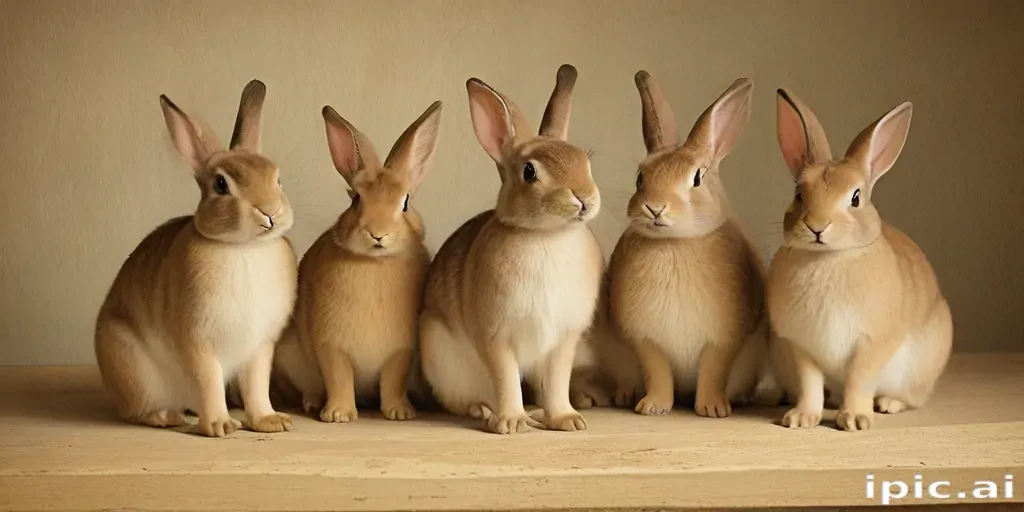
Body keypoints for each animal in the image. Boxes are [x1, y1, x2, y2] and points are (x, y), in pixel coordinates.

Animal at [93, 80, 298, 438]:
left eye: (278, 179)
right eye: (221, 184)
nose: (270, 213)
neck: (244, 247)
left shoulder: (259, 348)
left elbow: (257, 386)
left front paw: (270, 422)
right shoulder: (197, 342)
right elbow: (208, 382)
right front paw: (219, 426)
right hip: (132, 366)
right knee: (134, 411)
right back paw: (167, 416)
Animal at [271, 101, 442, 423]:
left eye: (405, 202)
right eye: (356, 200)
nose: (377, 233)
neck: (374, 263)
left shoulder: (401, 352)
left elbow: (393, 379)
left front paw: (399, 413)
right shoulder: (331, 347)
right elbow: (338, 377)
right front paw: (338, 415)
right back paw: (313, 404)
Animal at [418, 64, 604, 435]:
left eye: (585, 162)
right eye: (529, 172)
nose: (583, 199)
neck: (546, 235)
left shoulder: (564, 340)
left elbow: (558, 381)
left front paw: (567, 420)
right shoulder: (496, 337)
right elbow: (505, 379)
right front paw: (512, 424)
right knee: (465, 400)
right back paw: (487, 413)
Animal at [596, 71, 771, 418]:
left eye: (697, 178)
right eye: (640, 178)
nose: (655, 208)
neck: (675, 243)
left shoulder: (723, 340)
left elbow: (713, 371)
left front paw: (713, 409)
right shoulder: (646, 339)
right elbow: (658, 372)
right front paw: (653, 407)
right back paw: (625, 395)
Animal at [769, 88, 953, 431]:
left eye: (856, 198)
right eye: (799, 194)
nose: (817, 226)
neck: (830, 257)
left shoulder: (871, 344)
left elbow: (859, 379)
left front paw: (855, 420)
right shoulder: (802, 348)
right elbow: (810, 383)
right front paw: (801, 419)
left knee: (911, 398)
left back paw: (888, 404)